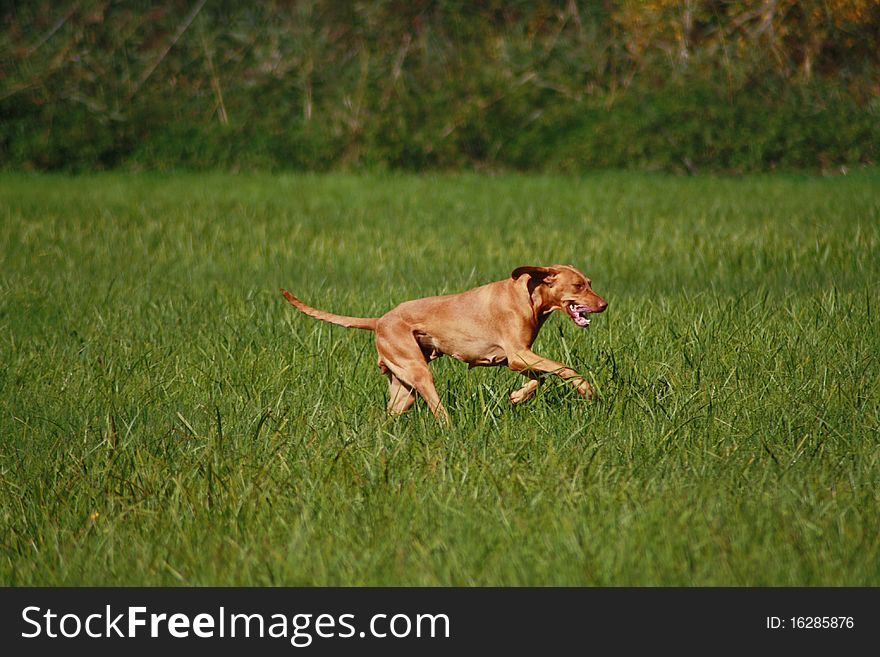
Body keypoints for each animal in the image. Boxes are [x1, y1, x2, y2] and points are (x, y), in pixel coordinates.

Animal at [282, 264, 604, 422]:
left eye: (590, 282)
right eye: (578, 286)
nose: (604, 305)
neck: (529, 294)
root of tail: (380, 320)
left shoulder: (519, 358)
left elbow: (540, 379)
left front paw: (517, 396)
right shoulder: (517, 355)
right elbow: (564, 368)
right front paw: (587, 391)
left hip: (404, 388)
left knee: (391, 415)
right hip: (420, 374)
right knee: (439, 413)